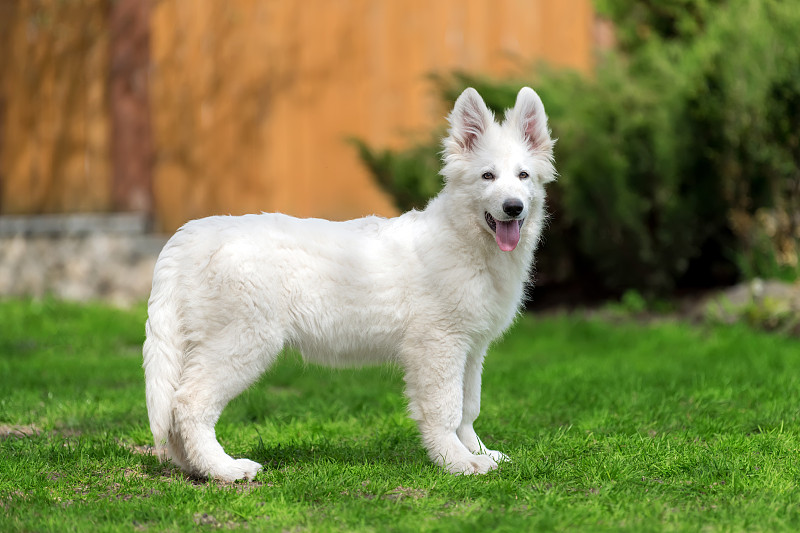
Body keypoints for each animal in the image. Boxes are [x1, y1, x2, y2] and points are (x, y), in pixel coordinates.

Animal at [144, 86, 552, 478]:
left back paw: (194, 468)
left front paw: (478, 451)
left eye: (523, 176)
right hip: (242, 342)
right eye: (487, 176)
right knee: (189, 403)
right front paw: (457, 461)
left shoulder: (472, 347)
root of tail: (193, 232)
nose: (513, 207)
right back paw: (223, 469)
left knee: (175, 411)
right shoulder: (439, 345)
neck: (466, 240)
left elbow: (469, 406)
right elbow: (445, 409)